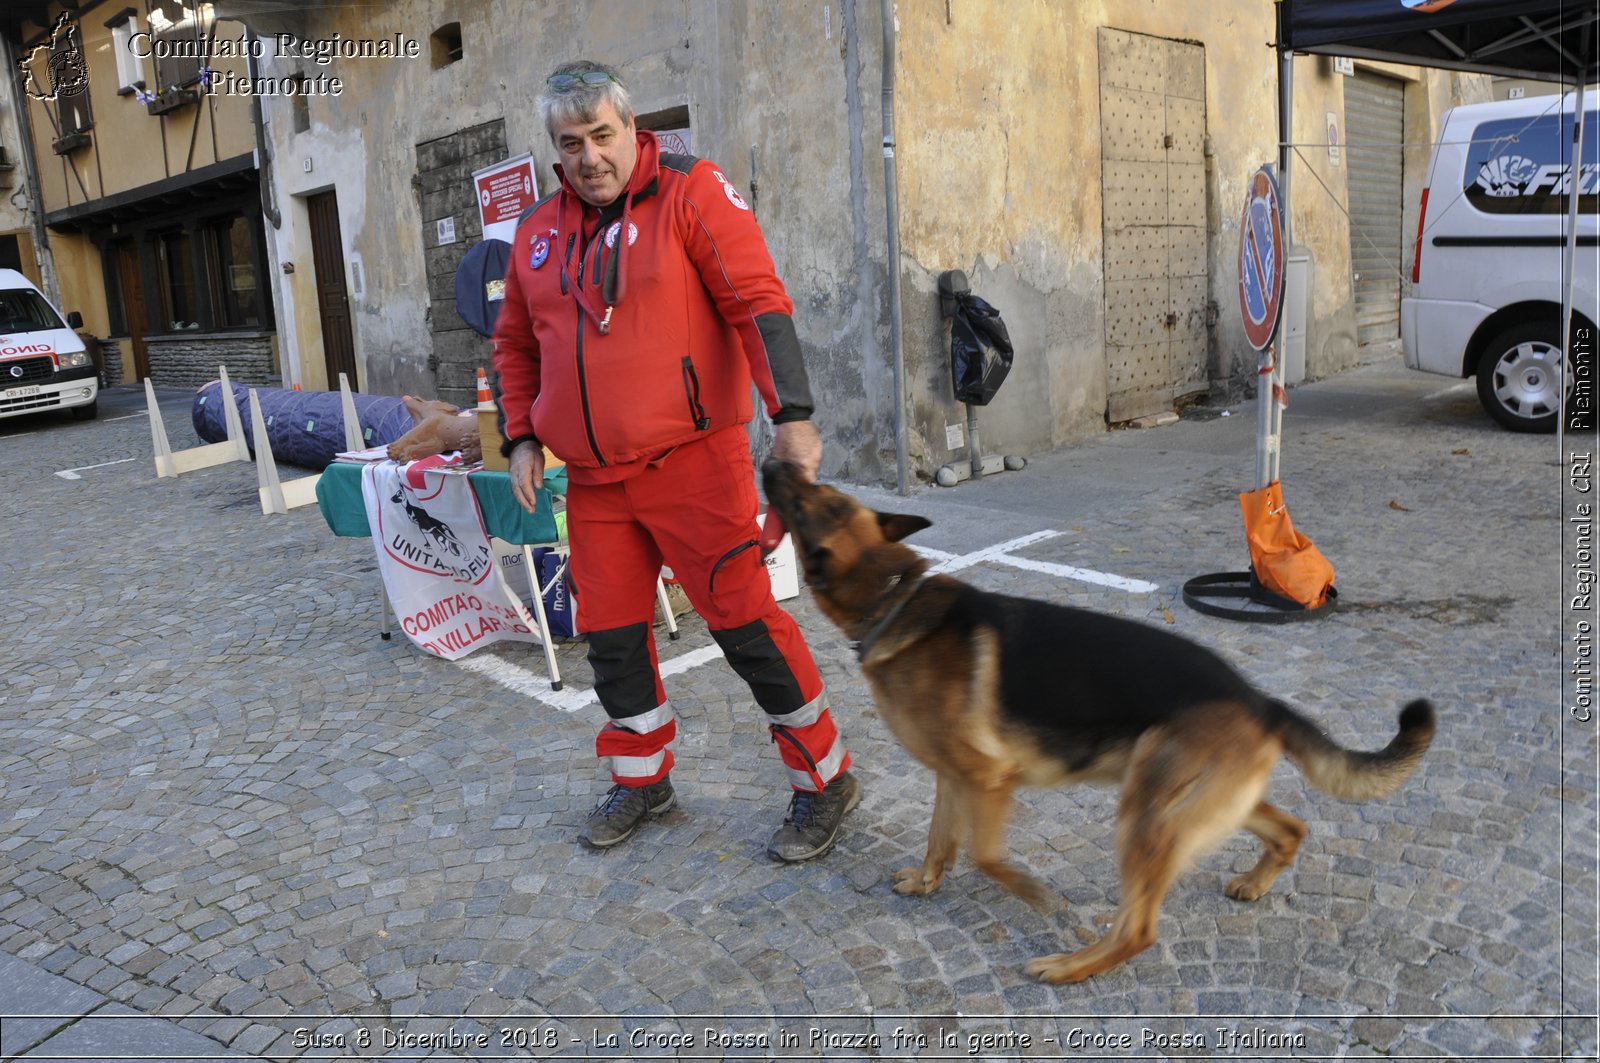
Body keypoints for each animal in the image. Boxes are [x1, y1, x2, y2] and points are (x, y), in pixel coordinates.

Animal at [761, 461, 1440, 986]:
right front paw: (927, 883)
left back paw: (1070, 966)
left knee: (1139, 930)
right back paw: (1253, 883)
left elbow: (984, 855)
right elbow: (940, 840)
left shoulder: (989, 778)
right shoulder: (953, 777)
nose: (773, 460)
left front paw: (1039, 897)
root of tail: (1256, 698)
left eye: (819, 499)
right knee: (1291, 827)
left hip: (1146, 813)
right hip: (1193, 805)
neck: (895, 598)